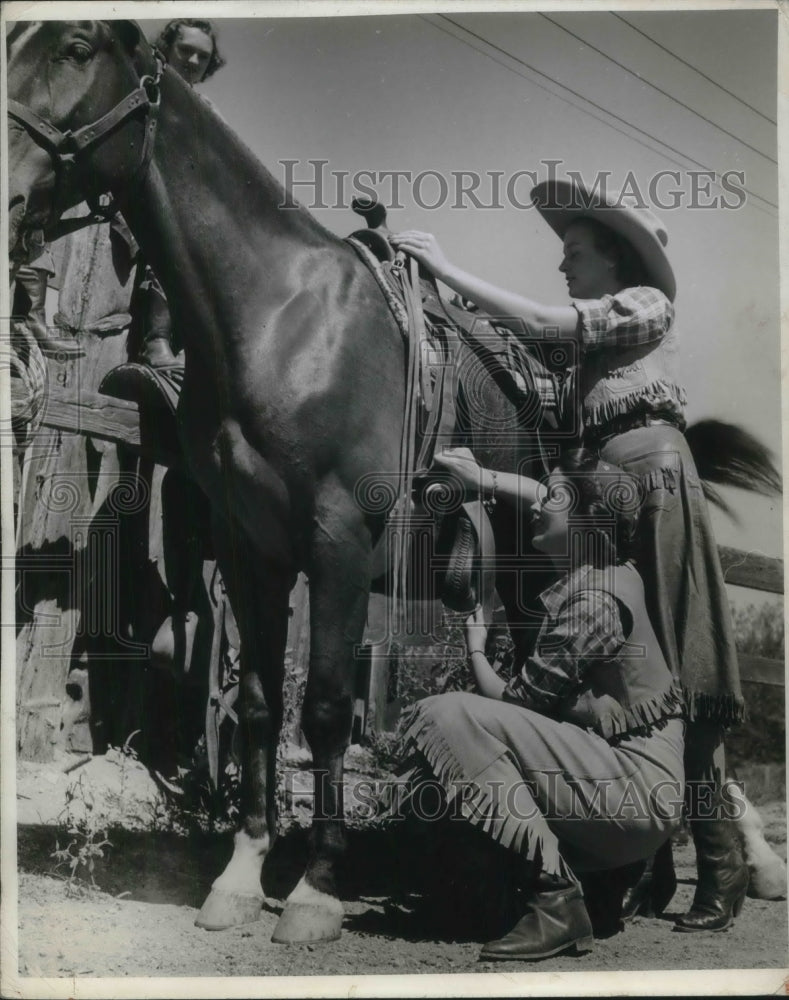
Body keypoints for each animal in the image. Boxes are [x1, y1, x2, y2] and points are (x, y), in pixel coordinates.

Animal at [7, 17, 780, 944]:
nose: (10, 203)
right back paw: (638, 884)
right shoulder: (250, 551)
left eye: (77, 47)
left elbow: (327, 708)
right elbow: (259, 704)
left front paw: (315, 889)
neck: (284, 324)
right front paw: (241, 874)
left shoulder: (337, 543)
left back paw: (686, 887)